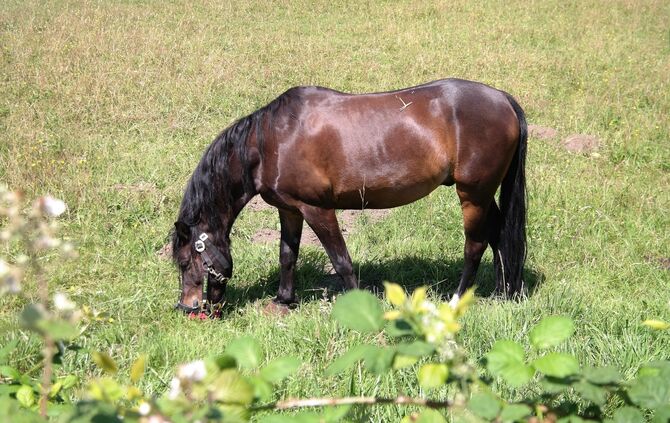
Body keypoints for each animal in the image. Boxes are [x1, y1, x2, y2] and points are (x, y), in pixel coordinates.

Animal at [171, 78, 527, 316]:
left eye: (185, 261)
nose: (188, 308)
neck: (271, 141)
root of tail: (503, 99)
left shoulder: (317, 209)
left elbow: (341, 260)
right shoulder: (290, 210)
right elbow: (287, 255)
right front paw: (283, 300)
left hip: (473, 195)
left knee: (475, 245)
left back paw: (457, 299)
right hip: (485, 195)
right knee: (498, 235)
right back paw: (503, 292)